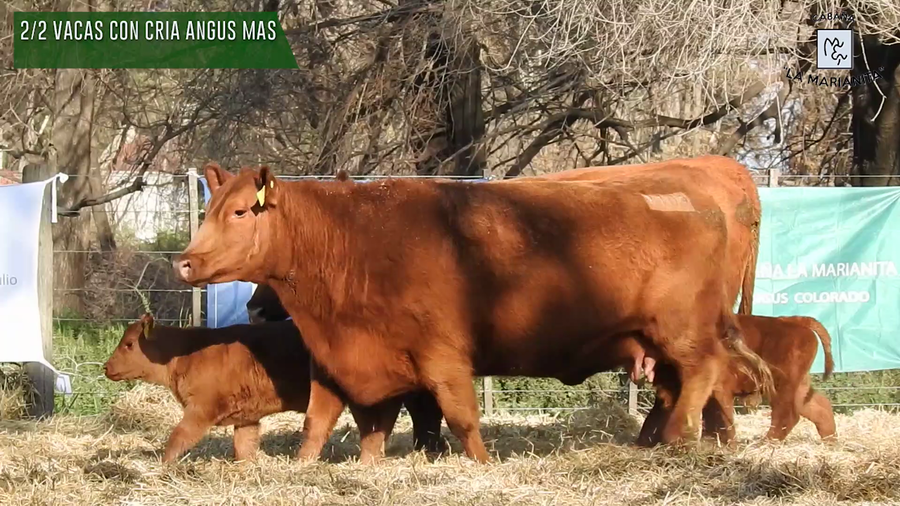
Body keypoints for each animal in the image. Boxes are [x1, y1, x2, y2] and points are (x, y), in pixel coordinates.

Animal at [103, 314, 312, 463]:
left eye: (129, 344)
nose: (106, 366)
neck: (184, 355)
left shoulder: (201, 409)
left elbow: (177, 438)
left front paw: (164, 467)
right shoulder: (247, 417)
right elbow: (244, 448)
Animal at [173, 162, 773, 463]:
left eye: (241, 211)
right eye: (210, 209)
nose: (184, 261)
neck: (354, 242)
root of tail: (700, 201)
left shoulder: (442, 357)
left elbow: (459, 418)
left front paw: (482, 466)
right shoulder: (342, 358)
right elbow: (321, 423)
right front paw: (310, 470)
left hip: (683, 333)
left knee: (704, 377)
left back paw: (680, 436)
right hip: (658, 343)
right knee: (692, 386)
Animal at [634, 314, 837, 446]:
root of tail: (792, 320)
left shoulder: (719, 390)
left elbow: (724, 419)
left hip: (782, 386)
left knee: (787, 415)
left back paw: (765, 443)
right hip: (798, 387)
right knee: (820, 407)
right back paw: (830, 441)